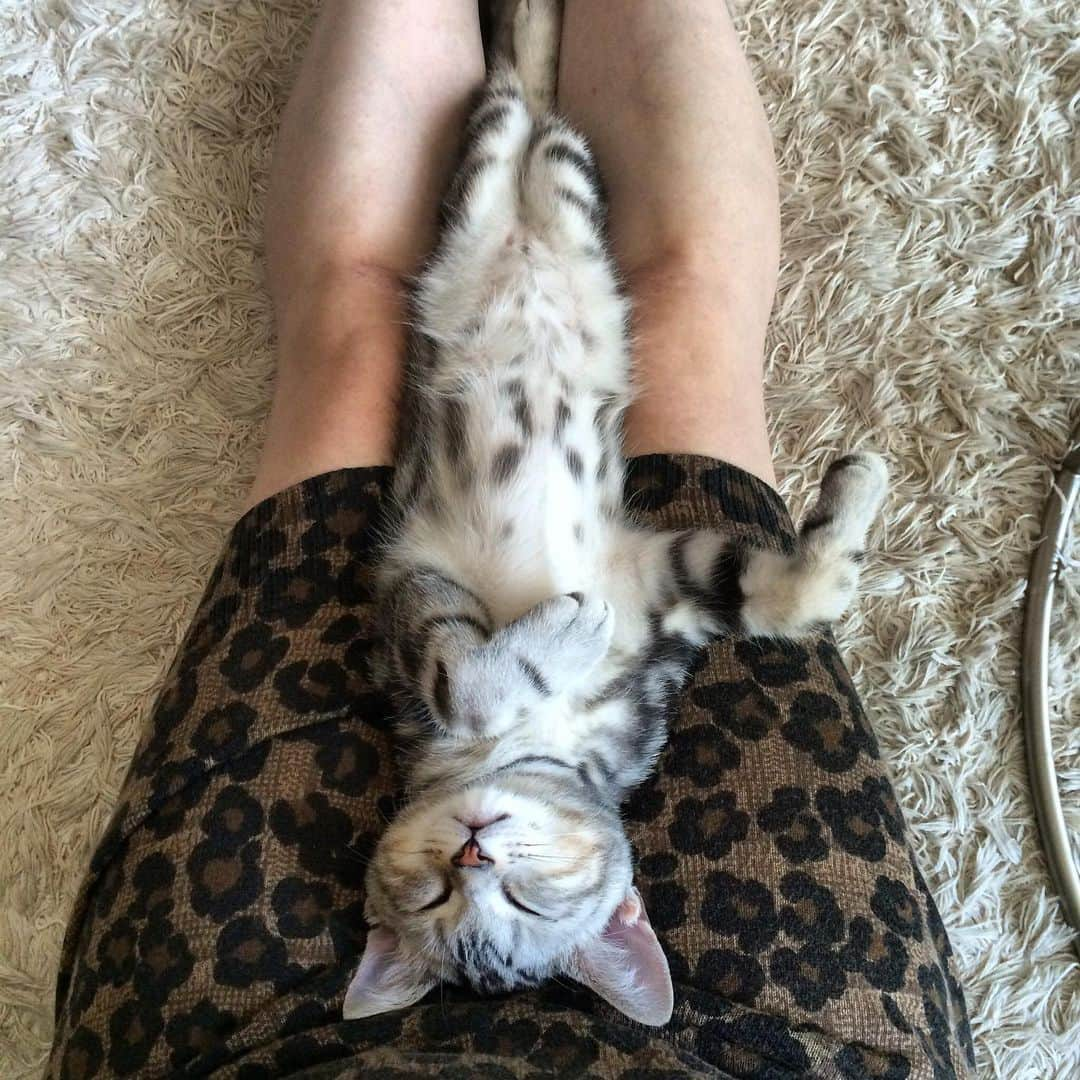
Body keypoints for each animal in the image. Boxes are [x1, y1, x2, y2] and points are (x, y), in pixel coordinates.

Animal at [345, 2, 885, 1028]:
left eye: (524, 898)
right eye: (436, 897)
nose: (473, 845)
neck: (540, 741)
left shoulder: (660, 587)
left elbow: (779, 593)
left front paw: (853, 503)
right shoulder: (414, 592)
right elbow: (466, 677)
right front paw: (554, 638)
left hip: (555, 178)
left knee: (525, 94)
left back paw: (539, 25)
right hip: (512, 173)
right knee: (514, 103)